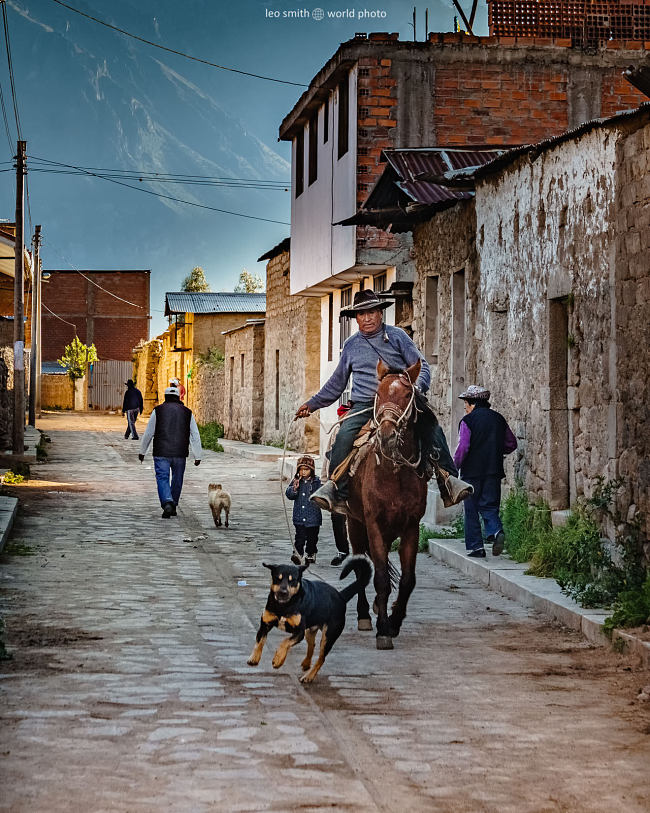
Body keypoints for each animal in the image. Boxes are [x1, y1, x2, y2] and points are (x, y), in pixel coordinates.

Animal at [346, 358, 428, 652]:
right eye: (378, 394)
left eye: (407, 395)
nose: (387, 435)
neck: (395, 473)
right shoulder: (373, 524)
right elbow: (380, 576)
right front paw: (382, 628)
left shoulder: (412, 526)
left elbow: (408, 579)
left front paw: (394, 621)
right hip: (354, 524)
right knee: (360, 568)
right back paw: (363, 615)